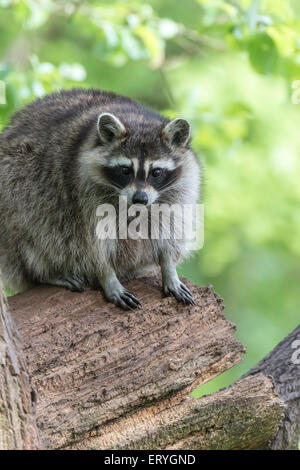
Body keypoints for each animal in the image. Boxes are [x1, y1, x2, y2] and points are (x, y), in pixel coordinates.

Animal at [0, 88, 202, 310]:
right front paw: (107, 277)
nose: (140, 198)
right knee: (29, 231)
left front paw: (169, 268)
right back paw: (45, 273)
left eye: (156, 172)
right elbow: (91, 244)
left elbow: (170, 230)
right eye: (125, 170)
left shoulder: (179, 191)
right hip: (14, 187)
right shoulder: (81, 196)